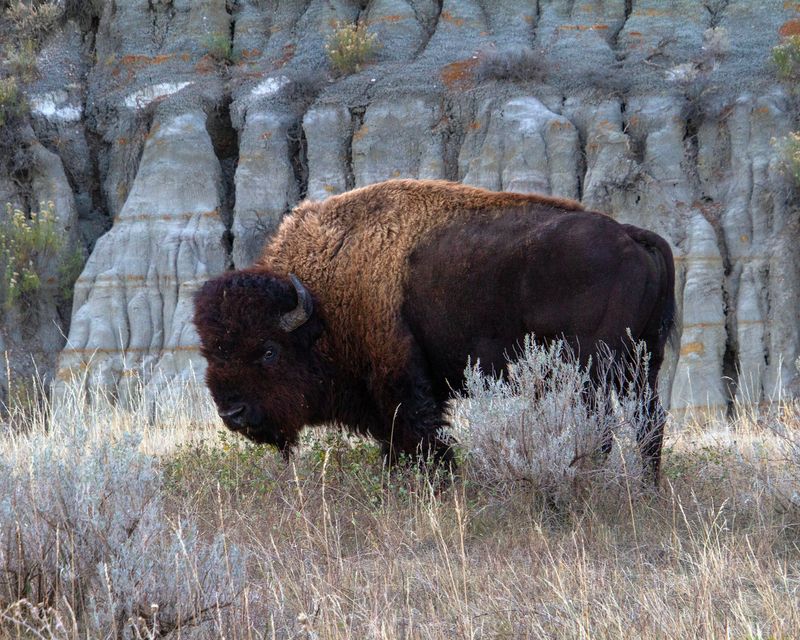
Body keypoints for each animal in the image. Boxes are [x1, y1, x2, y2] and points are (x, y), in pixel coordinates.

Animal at [194, 178, 676, 482]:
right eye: (211, 352)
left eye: (269, 350)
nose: (233, 413)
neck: (324, 298)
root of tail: (630, 235)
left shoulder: (401, 382)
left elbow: (422, 438)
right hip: (641, 364)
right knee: (647, 422)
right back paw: (645, 488)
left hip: (592, 368)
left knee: (601, 426)